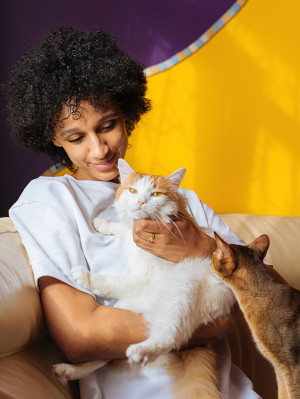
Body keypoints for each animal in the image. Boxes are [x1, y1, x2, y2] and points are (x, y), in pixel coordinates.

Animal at [54, 160, 237, 399]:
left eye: (156, 194)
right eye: (133, 191)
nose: (141, 201)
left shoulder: (144, 279)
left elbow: (112, 283)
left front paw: (86, 277)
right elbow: (123, 228)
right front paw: (103, 223)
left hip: (180, 292)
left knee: (170, 337)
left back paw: (142, 351)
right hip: (122, 313)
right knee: (104, 354)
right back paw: (69, 370)